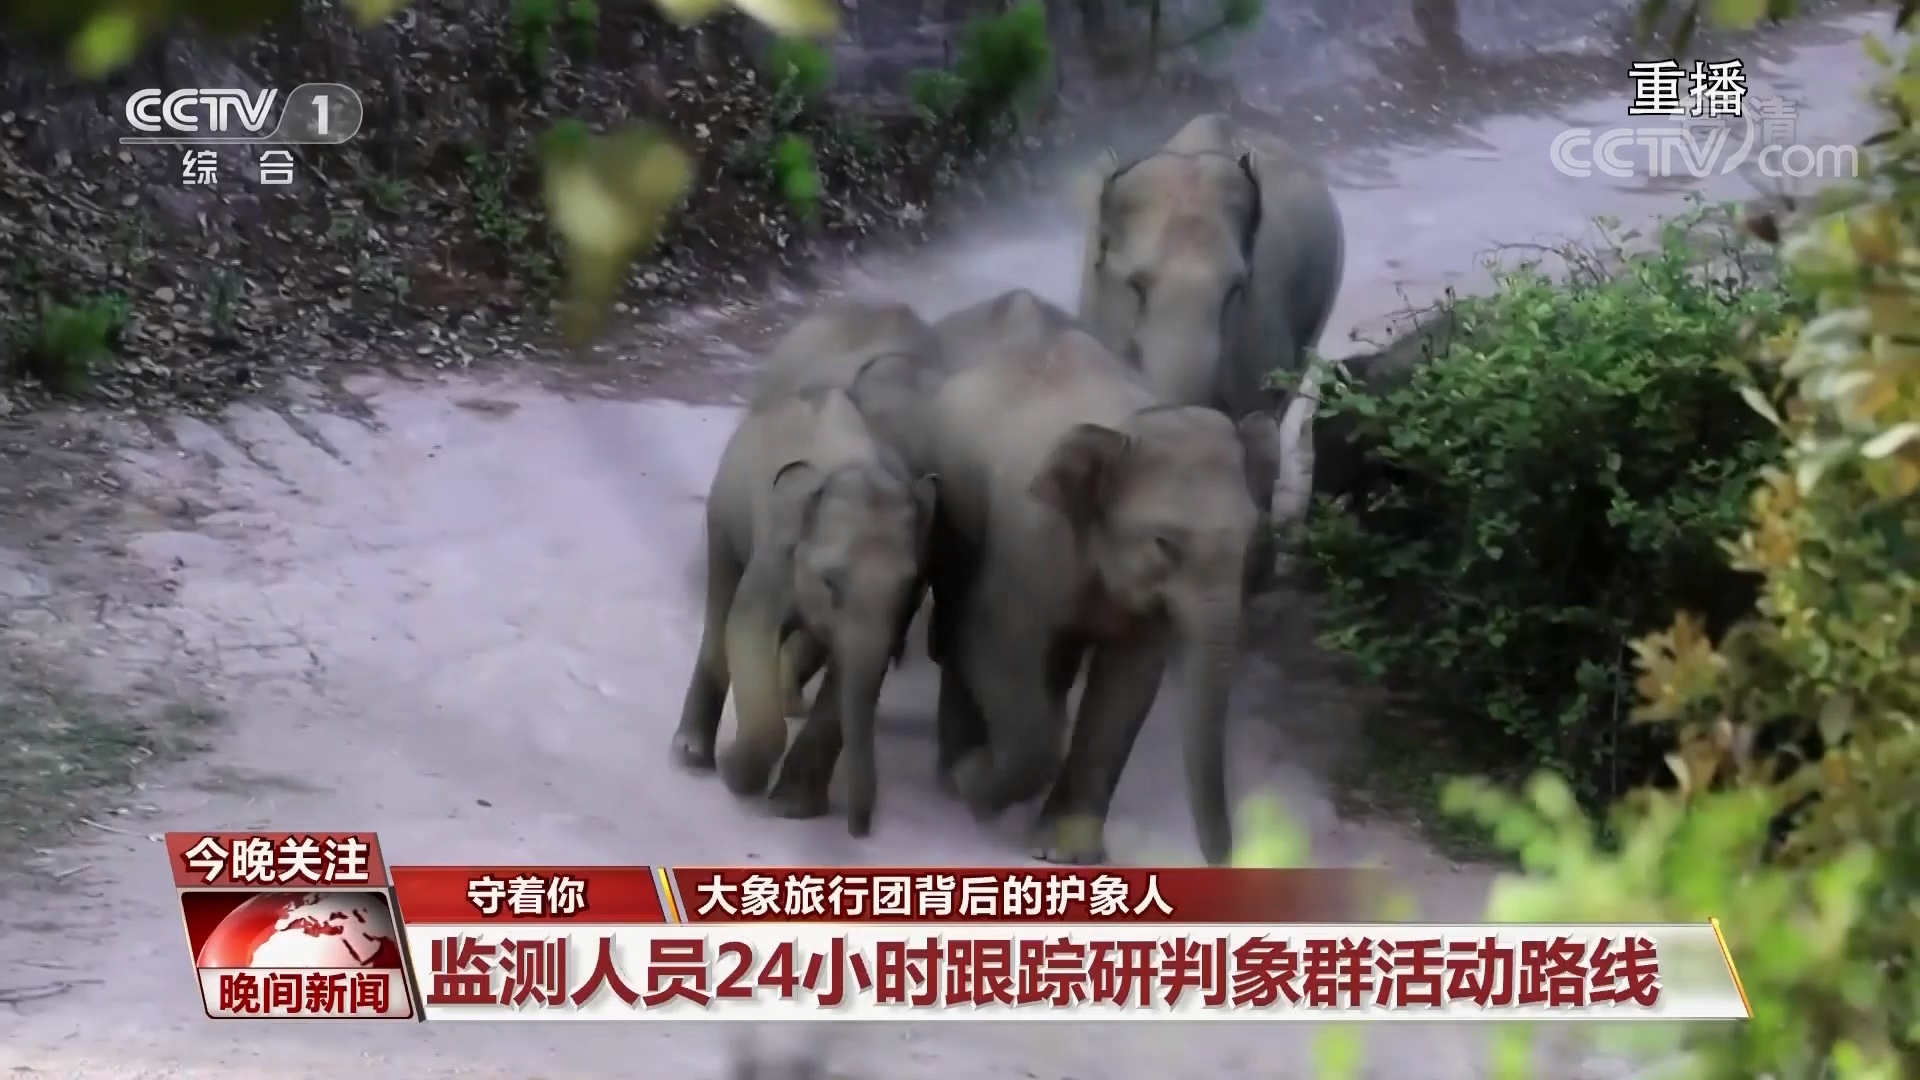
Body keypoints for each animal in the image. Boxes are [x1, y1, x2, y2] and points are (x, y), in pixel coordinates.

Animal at [670, 384, 937, 839]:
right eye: (831, 583)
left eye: (910, 588)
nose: (862, 829)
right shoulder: (777, 547)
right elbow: (747, 629)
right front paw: (733, 771)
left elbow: (850, 674)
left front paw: (793, 809)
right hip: (724, 511)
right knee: (720, 606)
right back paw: (691, 753)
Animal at [915, 293, 1281, 866]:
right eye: (1163, 543)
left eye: (1251, 540)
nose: (1233, 858)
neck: (1127, 429)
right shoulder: (1027, 541)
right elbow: (998, 650)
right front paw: (976, 782)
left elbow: (1129, 681)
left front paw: (1067, 850)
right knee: (963, 623)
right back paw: (954, 774)